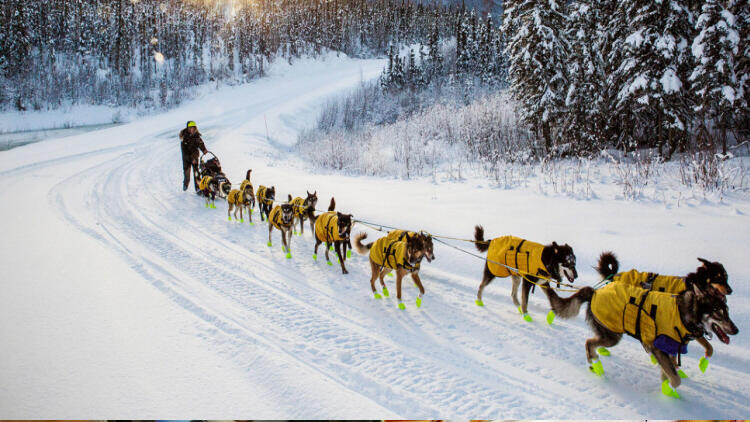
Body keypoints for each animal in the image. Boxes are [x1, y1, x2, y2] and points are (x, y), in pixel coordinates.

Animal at [540, 276, 740, 396]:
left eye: (728, 311)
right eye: (718, 312)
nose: (736, 330)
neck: (685, 313)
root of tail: (595, 291)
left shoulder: (669, 350)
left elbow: (669, 372)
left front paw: (666, 386)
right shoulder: (658, 348)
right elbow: (675, 379)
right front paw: (669, 389)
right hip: (612, 336)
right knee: (589, 342)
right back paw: (595, 363)